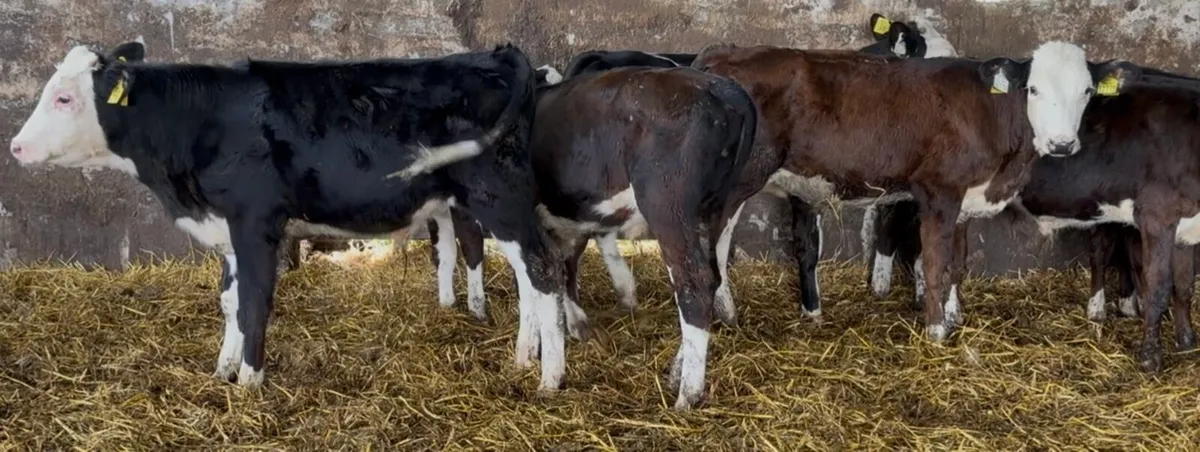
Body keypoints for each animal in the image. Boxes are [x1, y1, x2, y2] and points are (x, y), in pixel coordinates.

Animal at [9, 40, 574, 392]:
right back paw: (524, 357)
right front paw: (221, 371)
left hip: (497, 194)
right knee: (527, 276)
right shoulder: (227, 230)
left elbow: (254, 302)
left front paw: (249, 384)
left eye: (64, 98)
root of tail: (495, 56)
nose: (15, 147)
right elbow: (229, 300)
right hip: (495, 203)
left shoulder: (256, 222)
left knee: (542, 270)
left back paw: (550, 378)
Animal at [690, 40, 1137, 347]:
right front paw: (937, 331)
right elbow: (936, 264)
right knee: (713, 247)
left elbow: (958, 263)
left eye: (1087, 92)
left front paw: (955, 316)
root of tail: (721, 52)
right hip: (736, 184)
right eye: (1034, 90)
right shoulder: (938, 191)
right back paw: (724, 313)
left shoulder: (964, 198)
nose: (1062, 144)